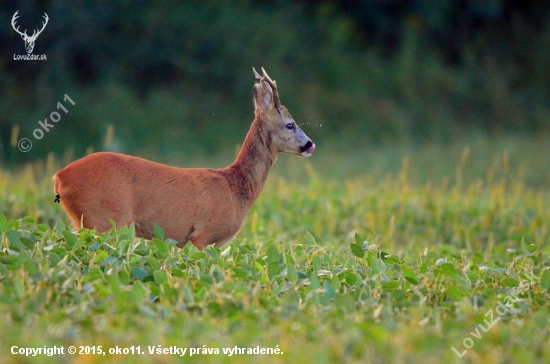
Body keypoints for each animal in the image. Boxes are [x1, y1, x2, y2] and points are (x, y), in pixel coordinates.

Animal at [55, 67, 320, 250]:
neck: (237, 187)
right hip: (106, 220)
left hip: (85, 222)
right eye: (290, 124)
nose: (310, 145)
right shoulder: (204, 236)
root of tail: (59, 177)